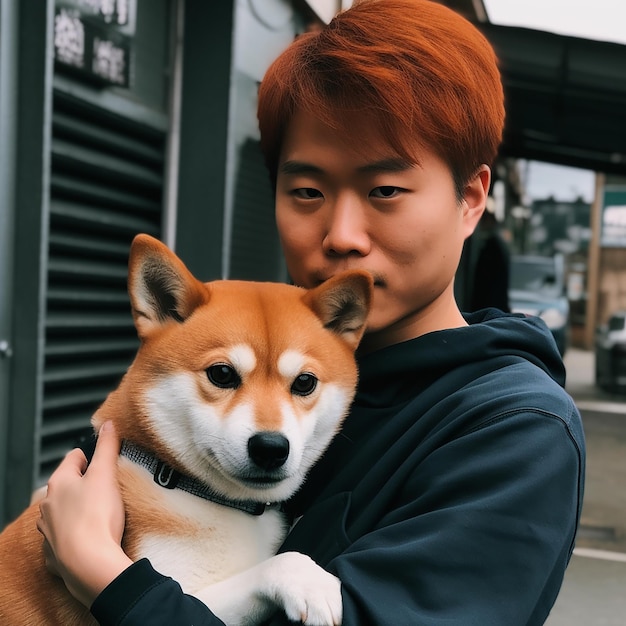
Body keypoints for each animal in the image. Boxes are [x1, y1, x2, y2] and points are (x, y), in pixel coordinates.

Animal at [0, 232, 370, 620]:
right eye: (222, 374)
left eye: (304, 383)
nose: (270, 448)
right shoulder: (178, 581)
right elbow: (279, 563)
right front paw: (311, 582)